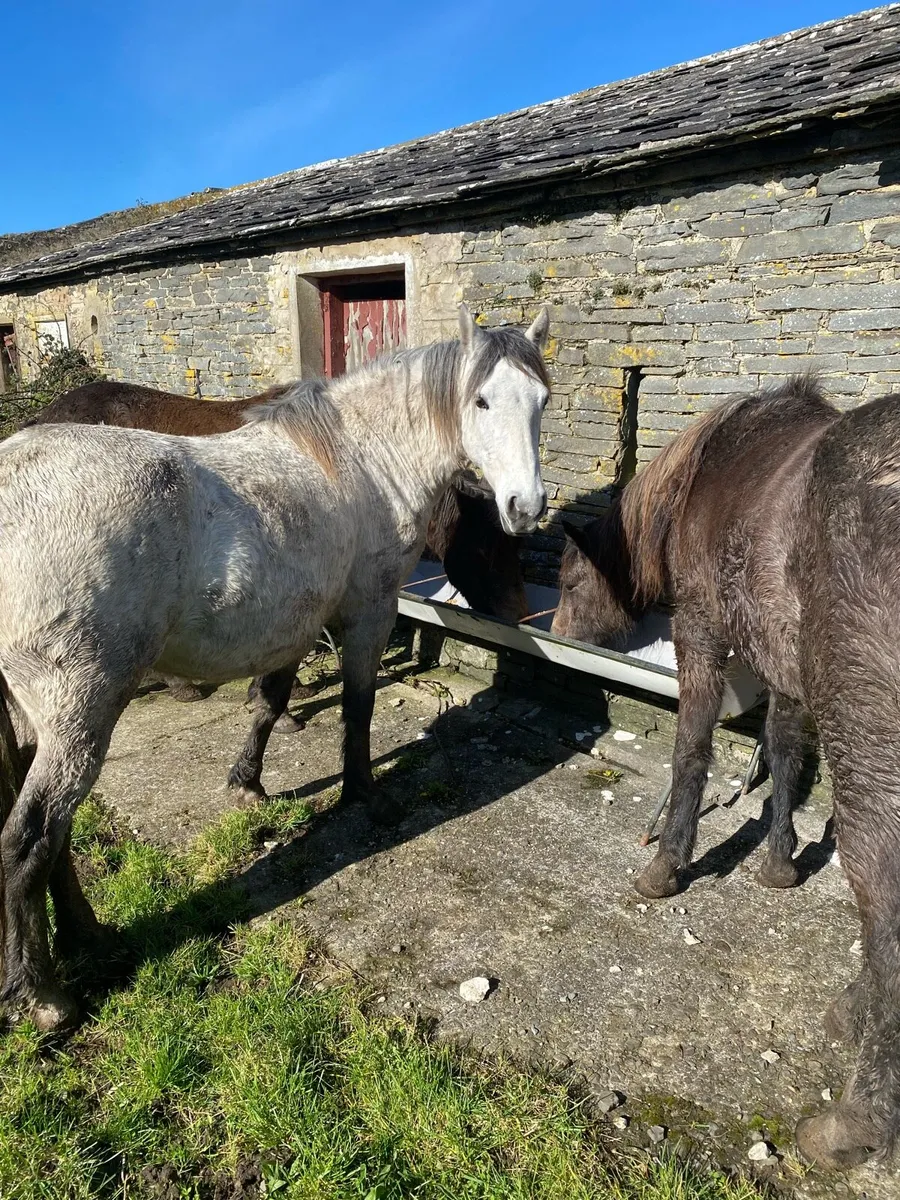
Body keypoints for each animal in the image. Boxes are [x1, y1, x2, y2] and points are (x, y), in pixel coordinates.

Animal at [0, 304, 551, 1035]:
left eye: (540, 400)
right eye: (481, 400)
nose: (525, 507)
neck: (363, 461)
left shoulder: (294, 619)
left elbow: (269, 701)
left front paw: (249, 782)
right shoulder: (367, 611)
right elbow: (357, 707)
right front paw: (362, 795)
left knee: (54, 837)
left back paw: (86, 935)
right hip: (79, 713)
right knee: (29, 838)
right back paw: (44, 997)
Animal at [552, 376, 900, 1168]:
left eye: (568, 578)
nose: (554, 634)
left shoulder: (703, 634)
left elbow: (693, 751)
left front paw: (666, 865)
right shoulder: (785, 674)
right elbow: (782, 753)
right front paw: (778, 864)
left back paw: (853, 1124)